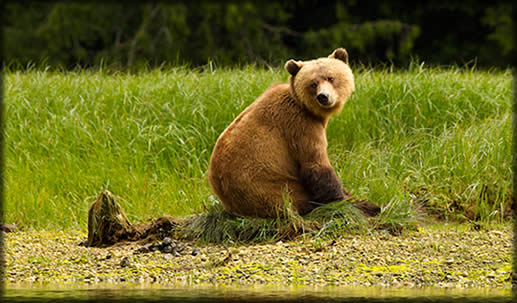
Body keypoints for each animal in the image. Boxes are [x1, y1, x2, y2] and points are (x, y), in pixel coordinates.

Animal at [208, 48, 380, 218]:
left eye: (330, 78)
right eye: (313, 83)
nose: (323, 97)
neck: (308, 109)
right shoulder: (300, 126)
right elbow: (315, 165)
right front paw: (356, 204)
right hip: (272, 188)